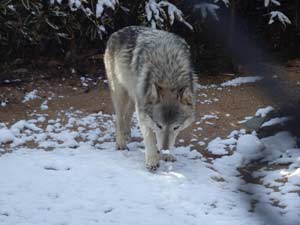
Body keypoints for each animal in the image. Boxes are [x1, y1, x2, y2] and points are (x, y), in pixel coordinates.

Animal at [103, 26, 197, 171]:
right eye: (159, 125)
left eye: (176, 127)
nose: (164, 150)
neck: (169, 73)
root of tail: (117, 31)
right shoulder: (144, 111)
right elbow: (150, 137)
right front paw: (152, 160)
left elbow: (172, 140)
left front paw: (168, 155)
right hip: (120, 93)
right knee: (119, 118)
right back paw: (121, 142)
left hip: (134, 93)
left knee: (128, 113)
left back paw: (127, 134)